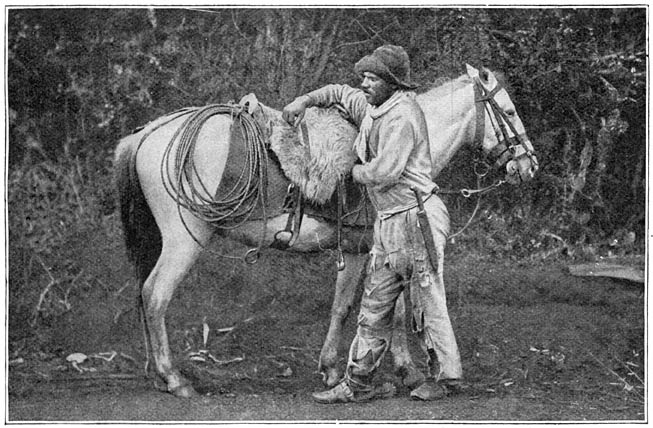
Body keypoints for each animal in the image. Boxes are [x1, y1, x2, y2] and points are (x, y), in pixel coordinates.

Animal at [114, 63, 536, 398]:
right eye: (509, 111)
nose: (528, 165)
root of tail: (147, 133)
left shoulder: (354, 250)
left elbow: (342, 306)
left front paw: (331, 369)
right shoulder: (383, 250)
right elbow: (396, 313)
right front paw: (408, 372)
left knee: (143, 295)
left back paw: (157, 375)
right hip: (184, 241)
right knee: (155, 295)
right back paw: (174, 378)